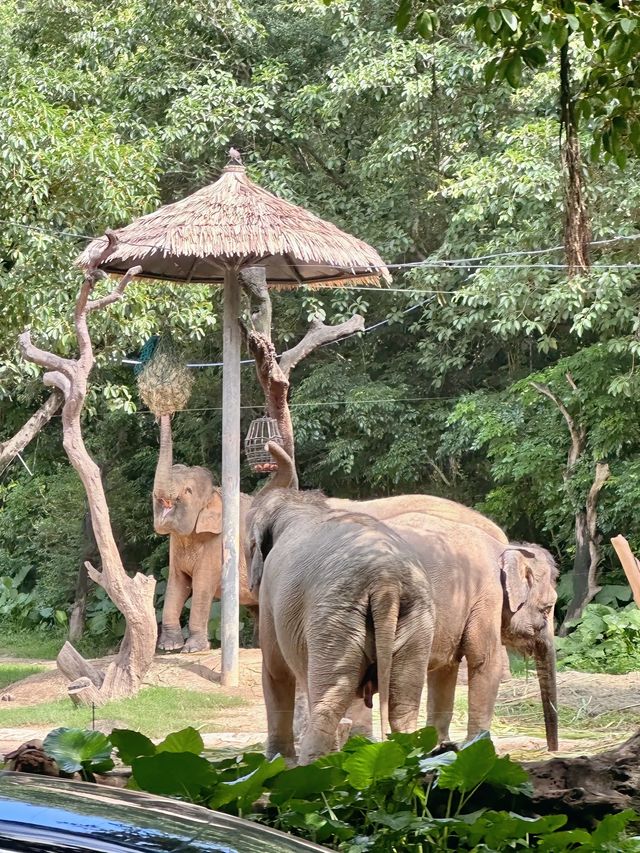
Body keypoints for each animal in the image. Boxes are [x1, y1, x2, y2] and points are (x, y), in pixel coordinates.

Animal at [245, 486, 436, 764]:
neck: (301, 505)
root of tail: (385, 581)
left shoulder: (270, 597)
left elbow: (275, 670)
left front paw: (276, 761)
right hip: (416, 622)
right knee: (403, 708)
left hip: (335, 619)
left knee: (326, 706)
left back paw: (312, 767)